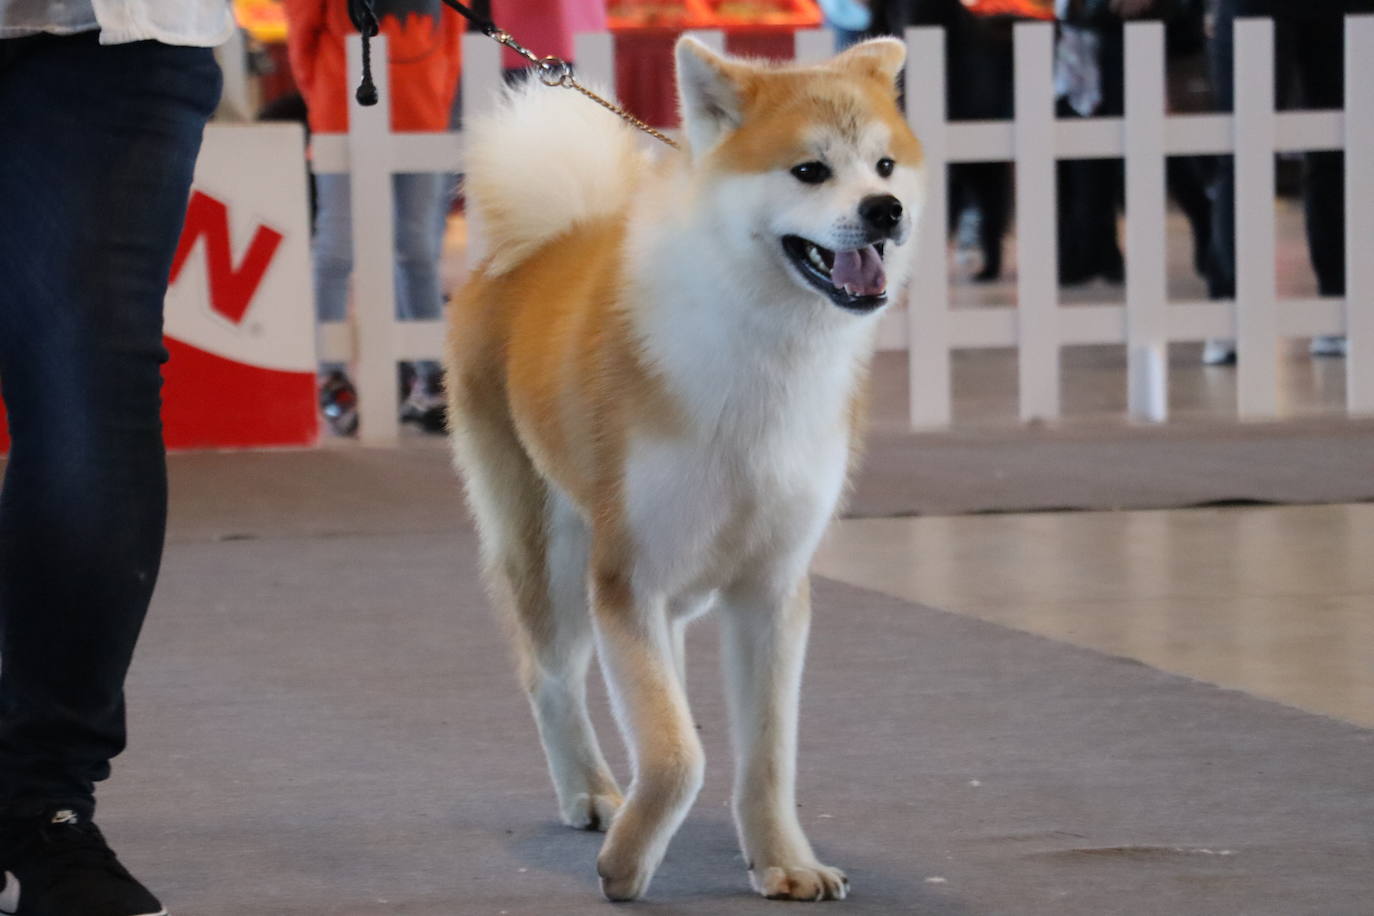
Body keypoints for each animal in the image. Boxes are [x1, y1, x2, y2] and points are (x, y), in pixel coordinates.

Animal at [447, 35, 923, 900]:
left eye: (884, 166)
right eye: (810, 170)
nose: (885, 211)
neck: (766, 347)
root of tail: (539, 246)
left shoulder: (771, 592)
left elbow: (766, 757)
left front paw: (783, 862)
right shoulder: (626, 581)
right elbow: (678, 754)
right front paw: (627, 862)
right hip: (551, 554)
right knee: (550, 679)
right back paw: (592, 793)